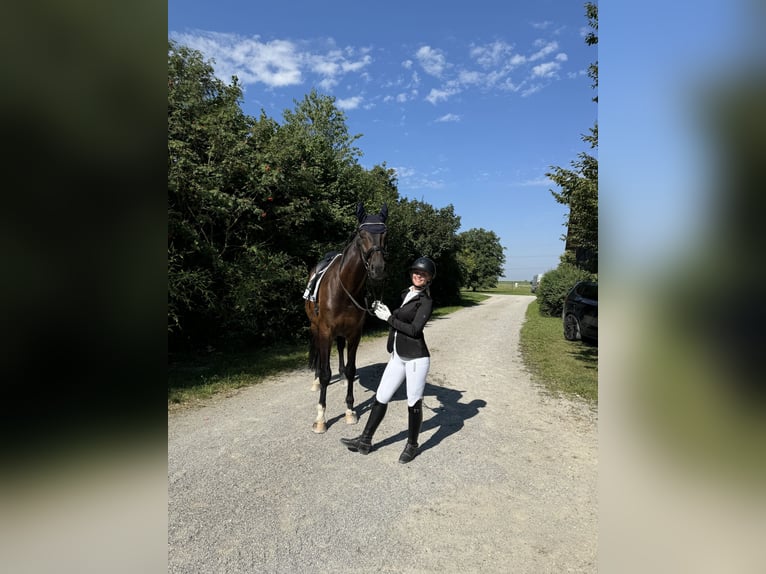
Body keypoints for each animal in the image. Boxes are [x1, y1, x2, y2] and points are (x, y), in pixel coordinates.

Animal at [306, 202, 390, 432]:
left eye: (386, 234)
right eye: (361, 234)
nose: (378, 269)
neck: (344, 288)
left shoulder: (354, 333)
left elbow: (352, 369)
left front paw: (350, 411)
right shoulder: (325, 331)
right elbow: (326, 373)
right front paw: (320, 417)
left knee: (341, 348)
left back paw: (342, 375)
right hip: (316, 327)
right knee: (319, 355)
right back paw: (316, 381)